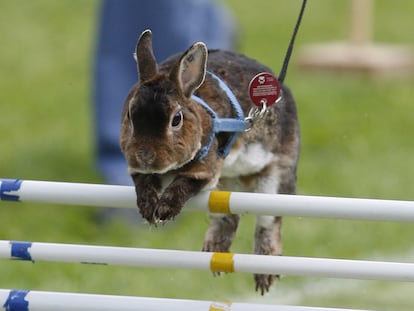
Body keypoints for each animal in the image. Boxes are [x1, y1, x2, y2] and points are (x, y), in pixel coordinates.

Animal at [118, 30, 300, 296]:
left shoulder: (206, 171)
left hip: (274, 179)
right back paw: (215, 251)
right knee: (227, 216)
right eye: (131, 115)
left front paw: (163, 211)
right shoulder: (142, 173)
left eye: (176, 119)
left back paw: (264, 274)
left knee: (268, 222)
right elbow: (144, 183)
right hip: (225, 187)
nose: (145, 155)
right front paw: (148, 208)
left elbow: (183, 184)